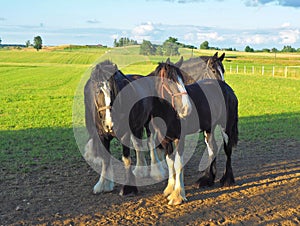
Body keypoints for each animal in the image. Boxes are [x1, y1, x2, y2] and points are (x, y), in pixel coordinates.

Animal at [83, 59, 191, 197]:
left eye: (114, 91)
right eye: (98, 91)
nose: (109, 124)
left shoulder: (124, 134)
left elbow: (126, 159)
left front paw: (128, 187)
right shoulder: (101, 134)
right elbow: (105, 158)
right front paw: (103, 184)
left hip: (148, 123)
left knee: (150, 143)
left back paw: (156, 170)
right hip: (136, 126)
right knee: (138, 144)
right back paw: (140, 169)